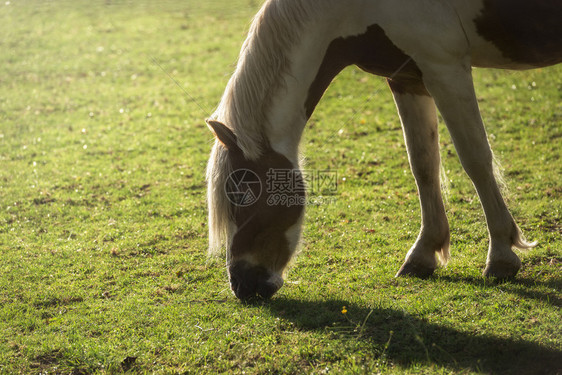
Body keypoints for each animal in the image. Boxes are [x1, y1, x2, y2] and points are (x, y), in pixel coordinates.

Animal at [206, 0, 560, 302]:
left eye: (242, 195)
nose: (242, 286)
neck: (354, 8)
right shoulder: (407, 77)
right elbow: (423, 164)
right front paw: (423, 254)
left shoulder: (445, 67)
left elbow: (474, 158)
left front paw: (501, 256)